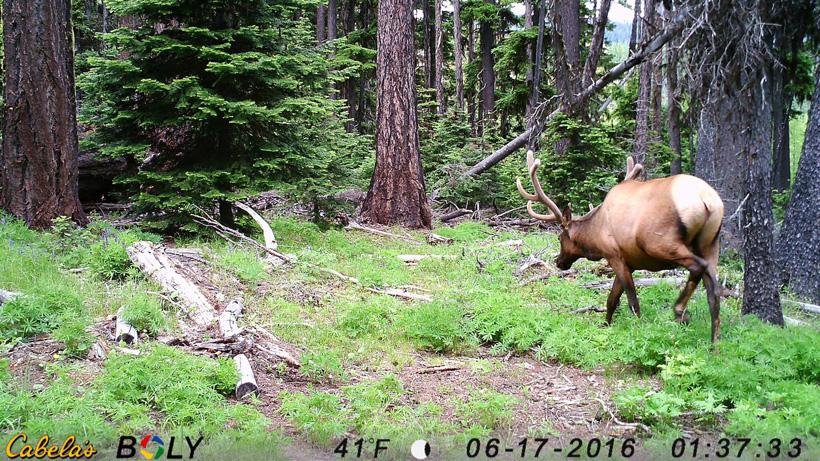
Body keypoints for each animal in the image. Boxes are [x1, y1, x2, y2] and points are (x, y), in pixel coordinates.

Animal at [517, 151, 724, 343]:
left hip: (659, 243)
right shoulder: (628, 262)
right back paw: (713, 344)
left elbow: (632, 302)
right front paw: (605, 325)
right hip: (710, 244)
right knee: (714, 290)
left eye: (560, 238)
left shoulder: (614, 256)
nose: (559, 262)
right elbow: (612, 299)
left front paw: (637, 329)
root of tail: (707, 200)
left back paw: (680, 312)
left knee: (698, 267)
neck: (595, 235)